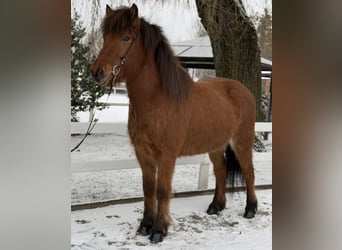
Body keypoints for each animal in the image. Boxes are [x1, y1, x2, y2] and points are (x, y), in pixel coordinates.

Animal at [91, 2, 256, 243]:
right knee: (221, 170)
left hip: (242, 142)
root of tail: (243, 90)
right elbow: (148, 189)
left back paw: (251, 209)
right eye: (105, 36)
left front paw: (159, 230)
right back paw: (216, 206)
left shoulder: (166, 155)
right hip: (215, 146)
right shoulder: (143, 153)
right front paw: (145, 225)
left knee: (248, 172)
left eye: (126, 37)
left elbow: (162, 190)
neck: (158, 99)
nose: (96, 72)